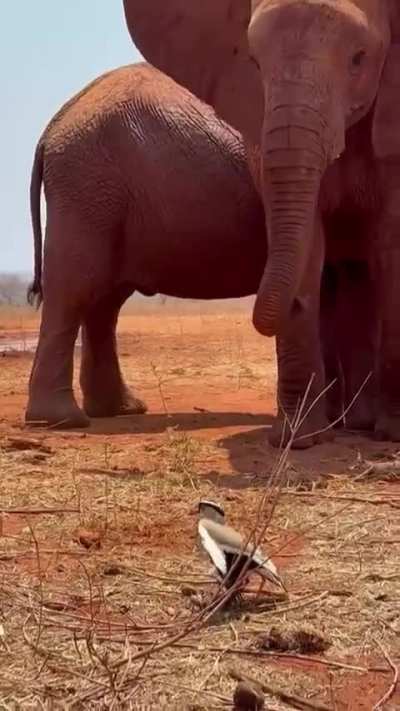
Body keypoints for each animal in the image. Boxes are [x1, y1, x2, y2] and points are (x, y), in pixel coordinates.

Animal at [123, 0, 400, 443]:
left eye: (360, 59)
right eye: (253, 62)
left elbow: (391, 239)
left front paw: (391, 435)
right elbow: (309, 238)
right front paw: (298, 440)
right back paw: (347, 423)